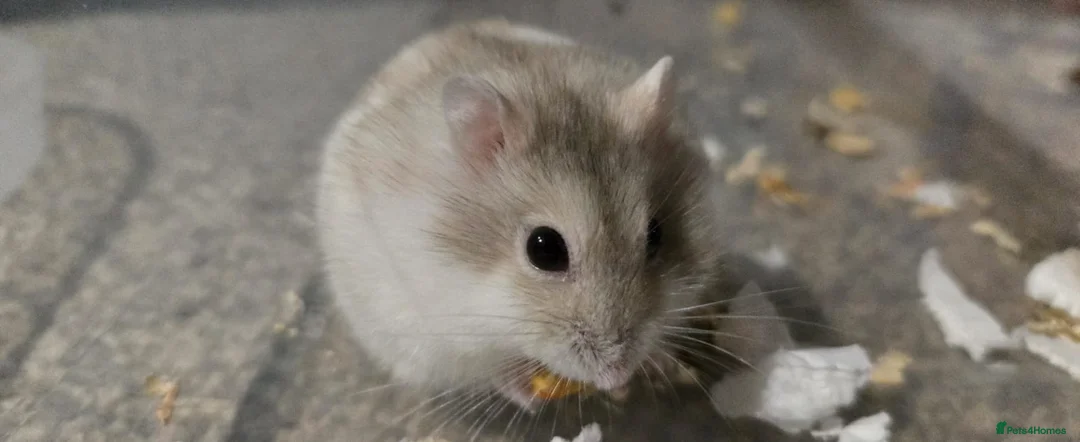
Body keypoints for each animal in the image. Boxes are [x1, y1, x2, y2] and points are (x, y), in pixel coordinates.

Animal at [316, 19, 727, 411]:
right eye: (543, 249)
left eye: (656, 235)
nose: (616, 373)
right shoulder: (436, 330)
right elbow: (492, 366)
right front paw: (530, 397)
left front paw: (646, 373)